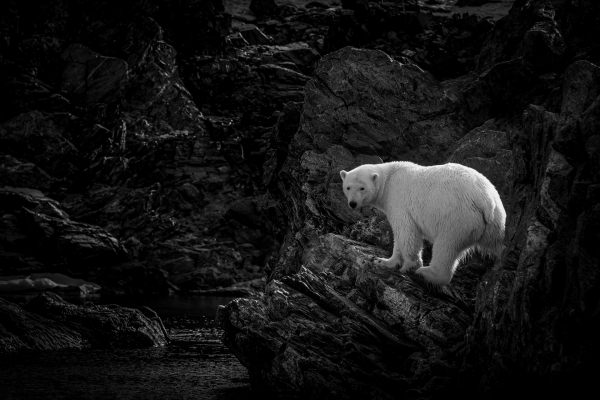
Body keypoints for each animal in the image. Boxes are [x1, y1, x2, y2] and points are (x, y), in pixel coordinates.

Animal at [340, 161, 504, 286]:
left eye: (362, 188)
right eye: (348, 187)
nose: (352, 203)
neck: (389, 179)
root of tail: (485, 200)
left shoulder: (398, 200)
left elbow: (406, 231)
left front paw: (409, 266)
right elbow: (399, 237)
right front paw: (385, 261)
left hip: (458, 218)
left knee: (446, 246)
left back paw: (426, 272)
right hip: (494, 223)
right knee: (497, 242)